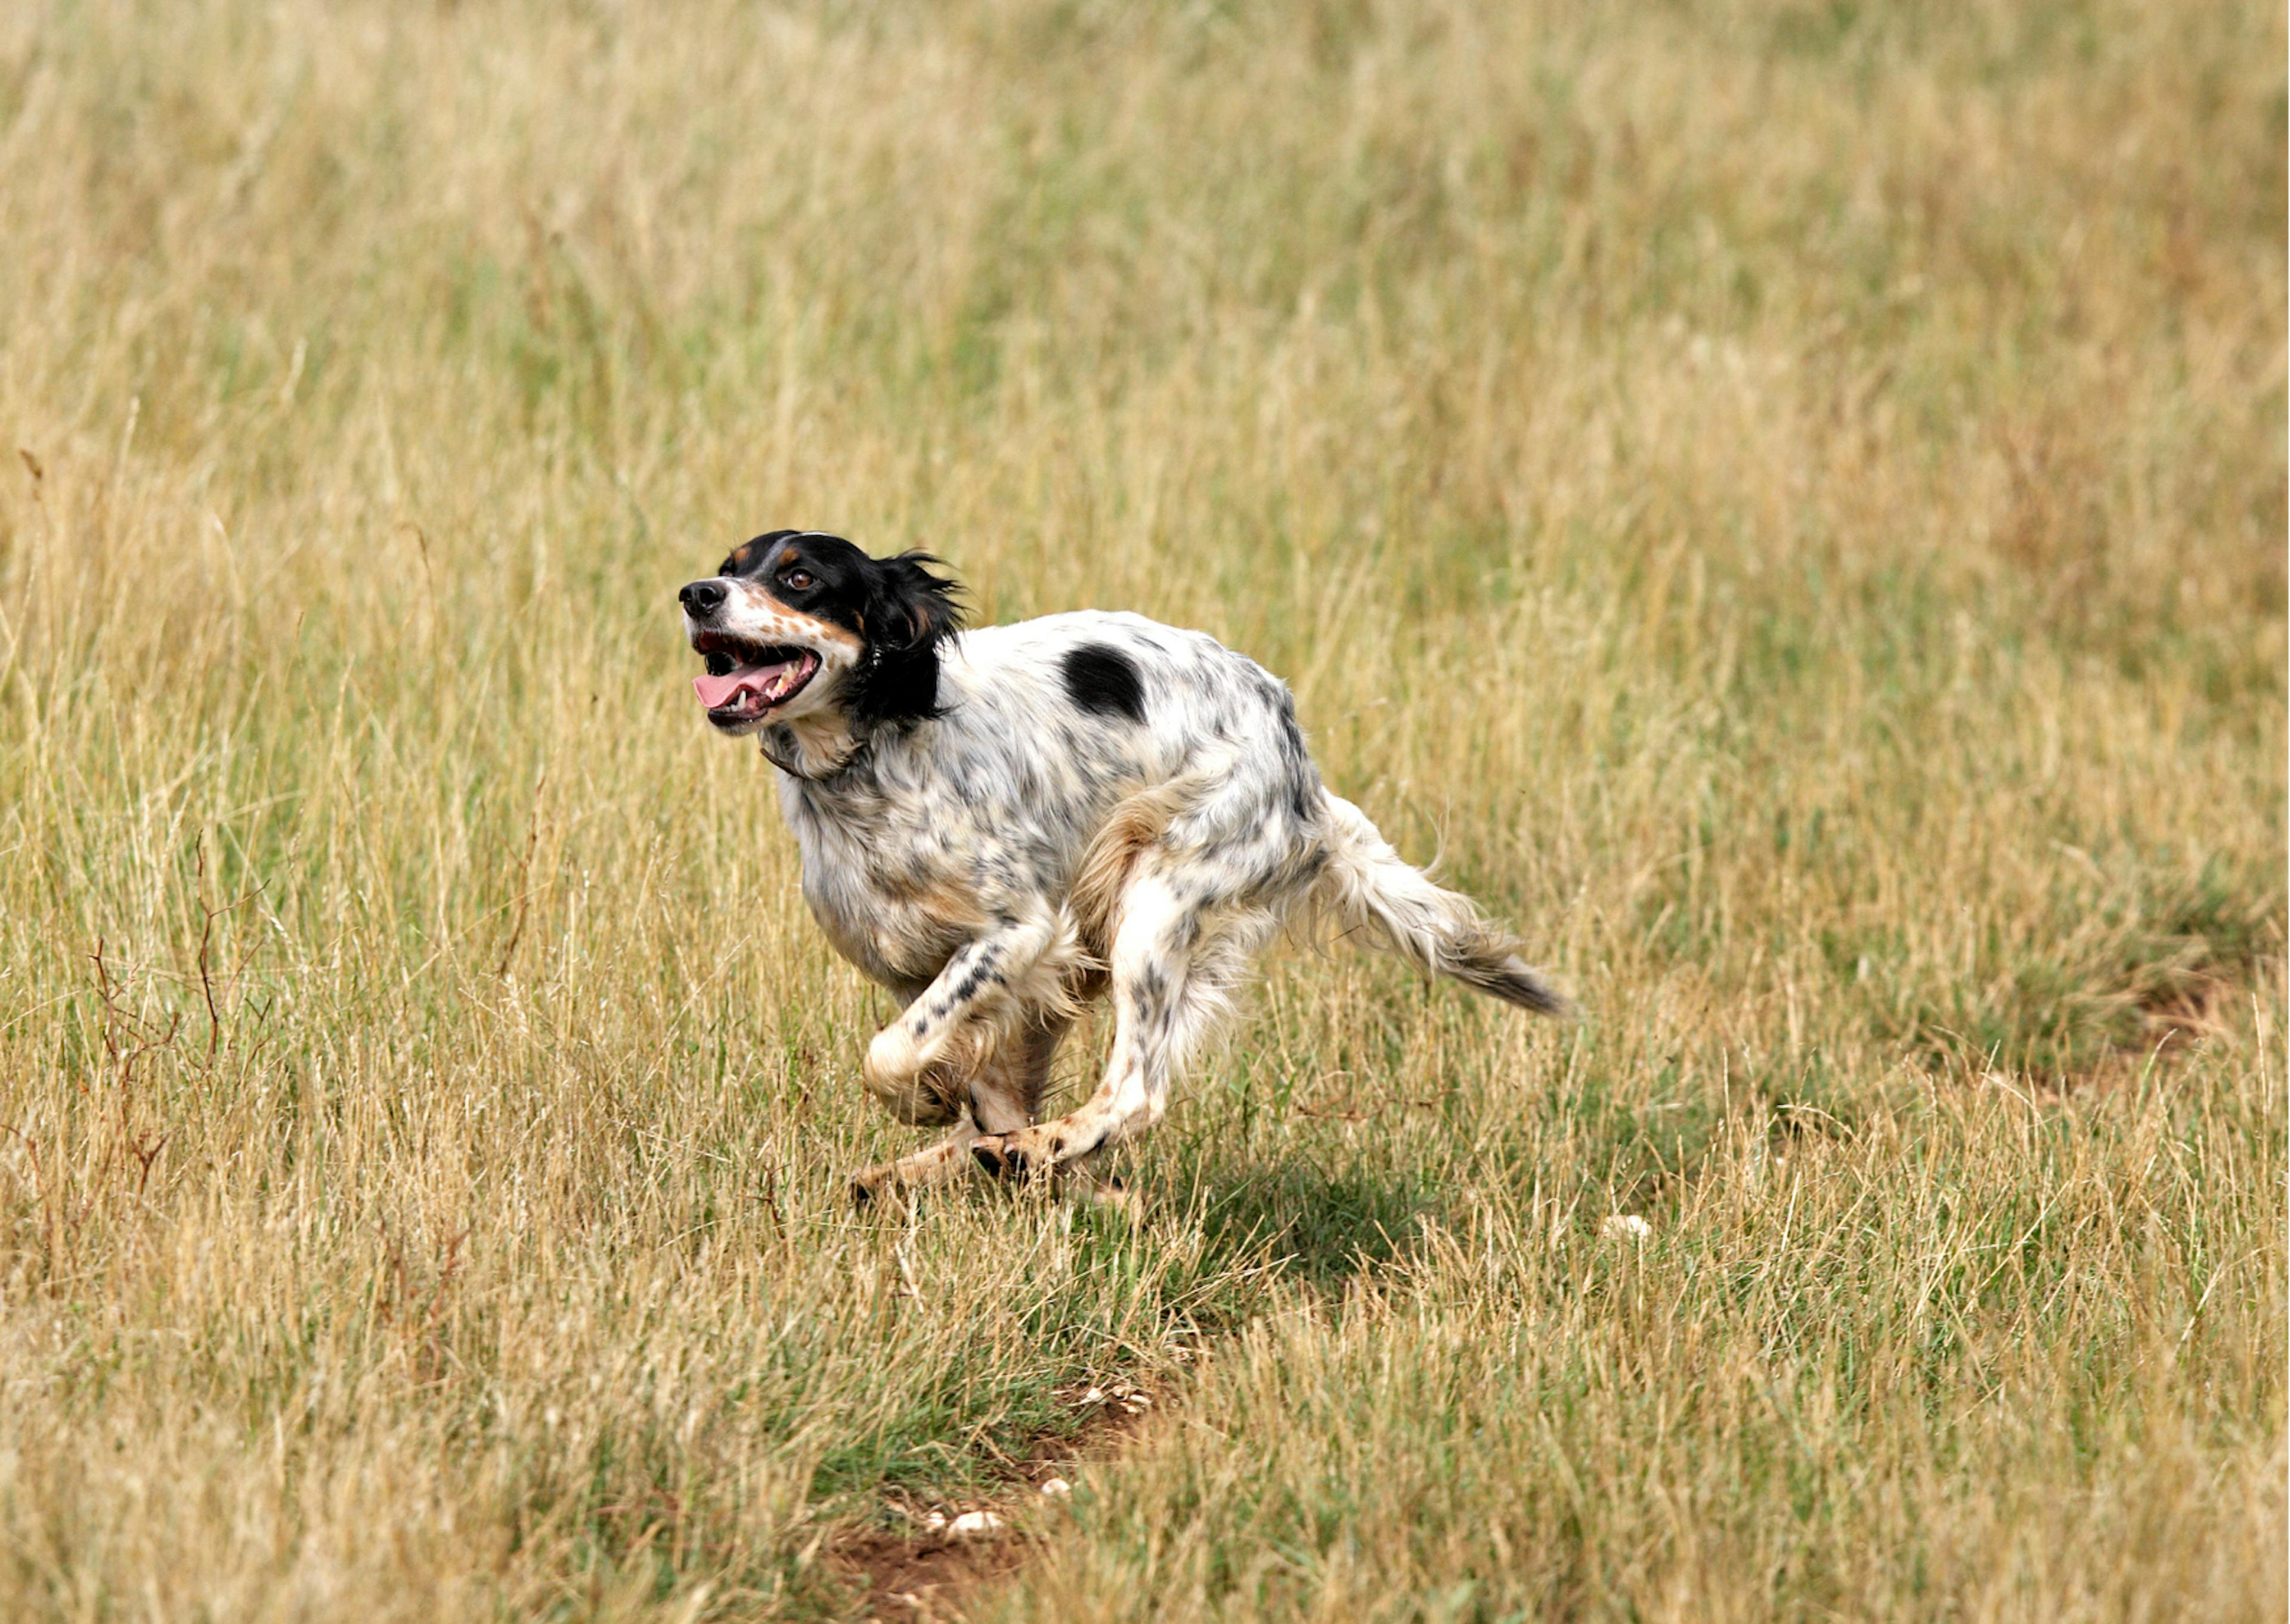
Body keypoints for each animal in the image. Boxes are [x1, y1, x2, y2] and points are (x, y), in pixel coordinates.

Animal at [677, 526, 1575, 1200]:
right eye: (730, 565)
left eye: (800, 577)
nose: (697, 594)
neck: (873, 756)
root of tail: (1300, 765)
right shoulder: (916, 964)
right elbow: (965, 1075)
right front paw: (979, 1137)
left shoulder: (1022, 930)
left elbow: (892, 1055)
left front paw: (934, 1108)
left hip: (1157, 902)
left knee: (1135, 1091)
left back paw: (1039, 1150)